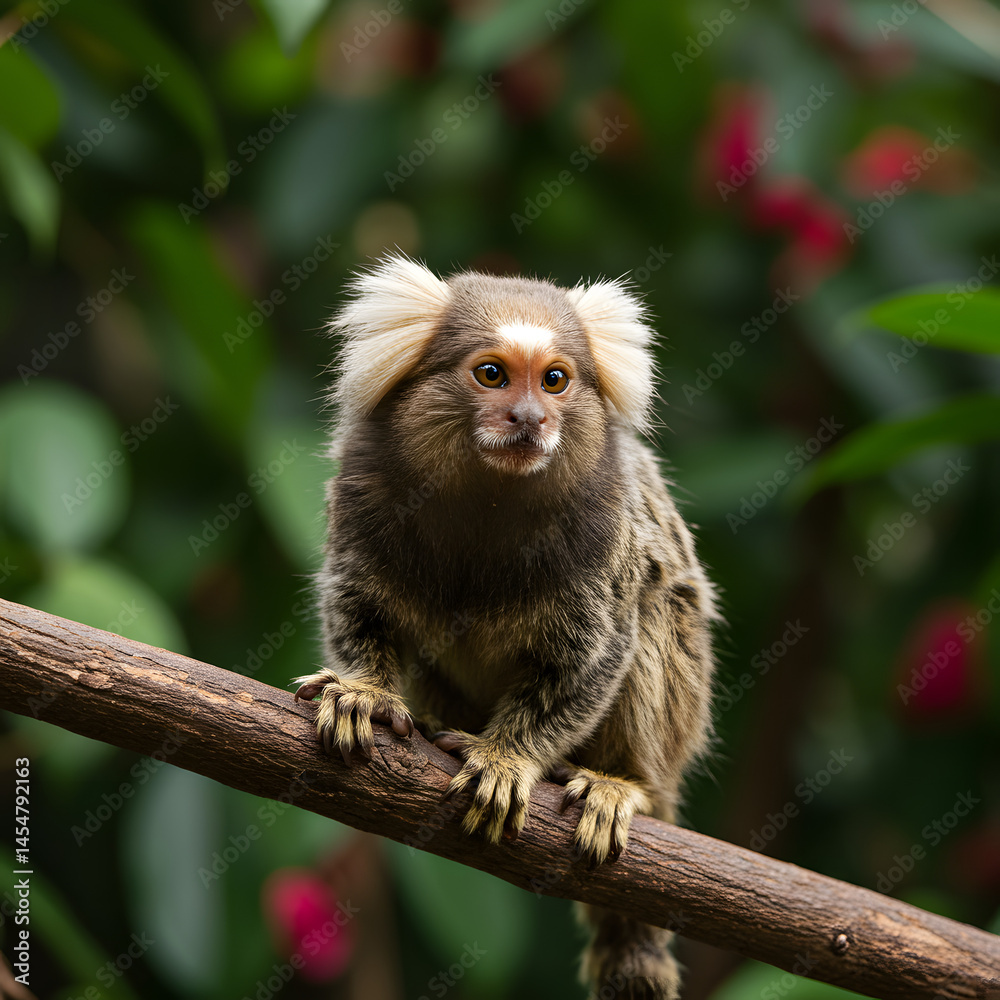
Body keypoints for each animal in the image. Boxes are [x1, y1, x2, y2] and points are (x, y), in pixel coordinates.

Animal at [294, 254, 718, 1000]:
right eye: (491, 374)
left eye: (555, 380)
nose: (529, 418)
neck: (488, 501)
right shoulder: (363, 491)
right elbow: (358, 606)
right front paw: (363, 694)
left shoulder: (605, 531)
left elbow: (594, 654)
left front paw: (507, 758)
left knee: (659, 608)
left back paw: (624, 784)